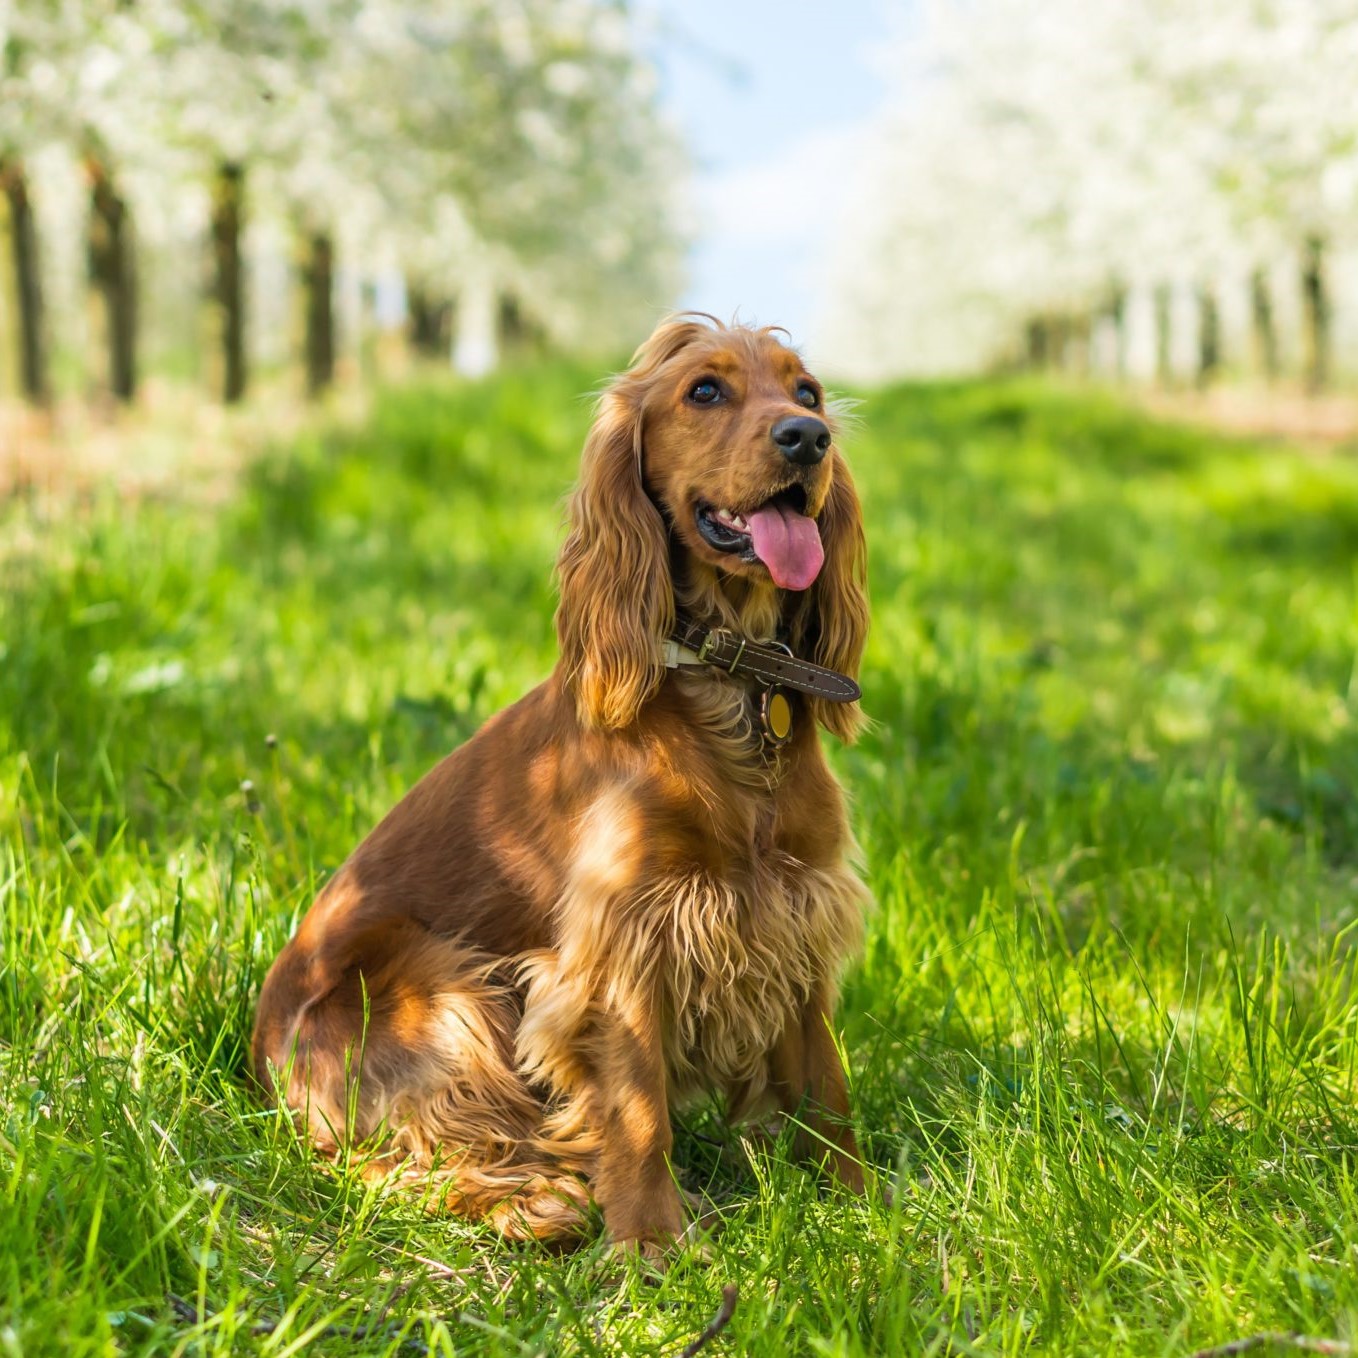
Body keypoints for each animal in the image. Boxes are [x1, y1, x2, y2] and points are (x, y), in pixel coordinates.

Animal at [252, 312, 869, 1254]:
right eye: (705, 390)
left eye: (808, 391)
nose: (808, 438)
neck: (729, 685)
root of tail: (258, 1058)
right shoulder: (626, 938)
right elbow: (640, 1109)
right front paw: (652, 1244)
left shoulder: (796, 910)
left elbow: (824, 1085)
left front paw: (868, 1207)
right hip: (438, 987)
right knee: (396, 1162)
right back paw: (538, 1204)